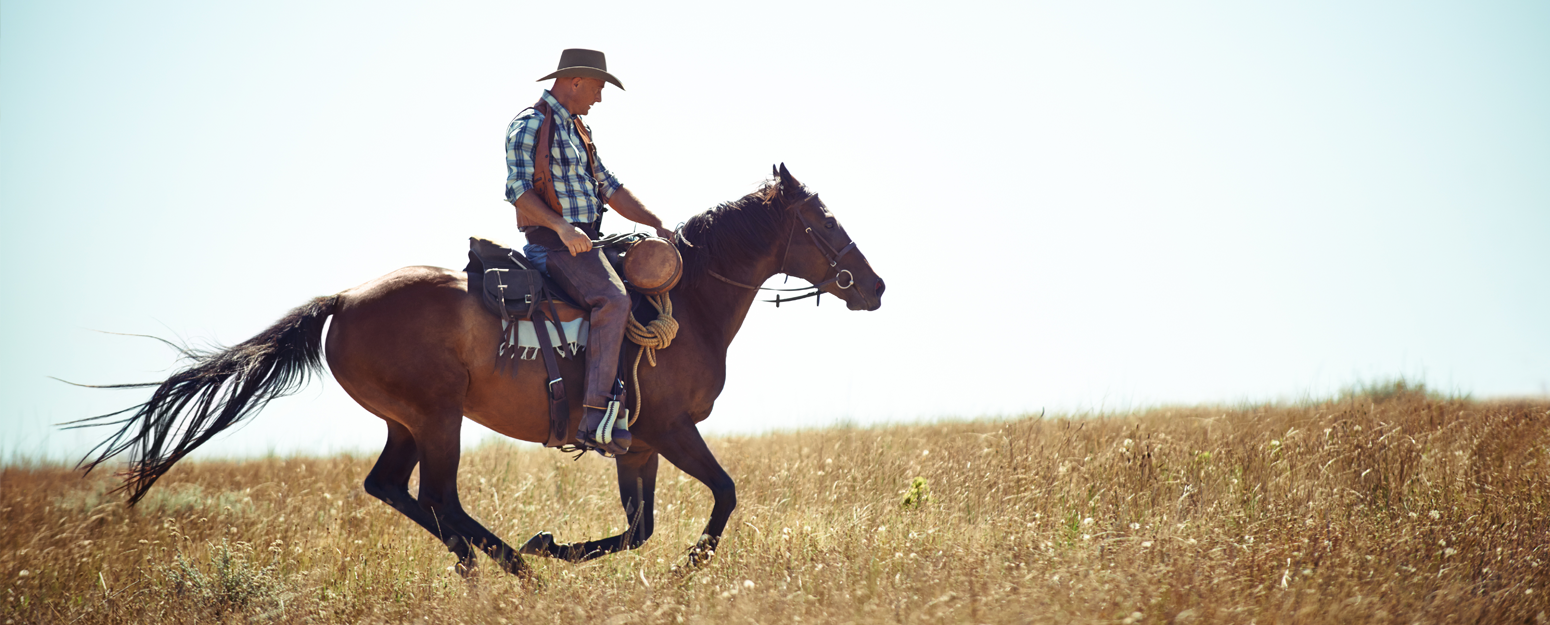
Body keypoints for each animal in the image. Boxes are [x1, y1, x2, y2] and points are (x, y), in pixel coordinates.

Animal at [69, 165, 886, 576]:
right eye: (825, 222)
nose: (874, 286)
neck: (684, 299)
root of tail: (344, 299)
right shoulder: (672, 428)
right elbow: (722, 496)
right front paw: (680, 565)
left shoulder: (639, 444)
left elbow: (639, 528)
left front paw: (563, 545)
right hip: (437, 417)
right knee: (439, 496)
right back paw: (513, 567)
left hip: (406, 421)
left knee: (393, 489)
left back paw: (491, 564)